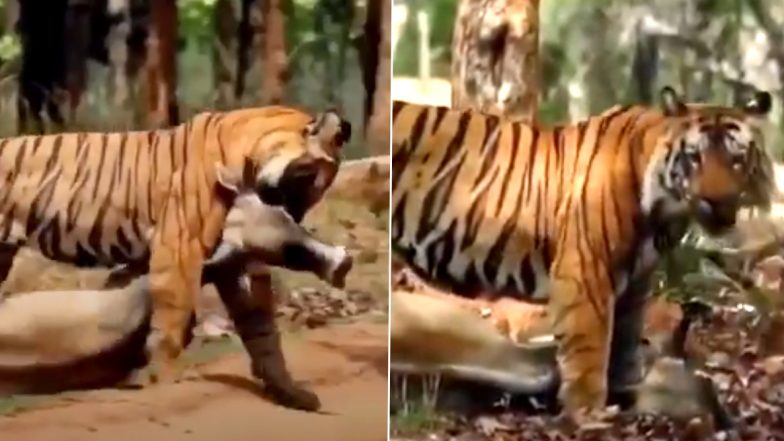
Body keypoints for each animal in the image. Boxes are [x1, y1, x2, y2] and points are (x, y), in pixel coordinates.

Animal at [0, 105, 352, 401]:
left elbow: (262, 330)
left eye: (319, 192)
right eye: (306, 176)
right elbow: (173, 315)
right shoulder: (181, 248)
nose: (293, 215)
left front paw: (291, 392)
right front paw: (160, 376)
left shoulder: (235, 263)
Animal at [391, 86, 775, 417]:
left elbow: (625, 343)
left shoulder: (636, 283)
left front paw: (626, 396)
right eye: (694, 158)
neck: (665, 213)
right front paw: (588, 413)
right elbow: (590, 352)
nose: (717, 201)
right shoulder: (586, 272)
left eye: (736, 159)